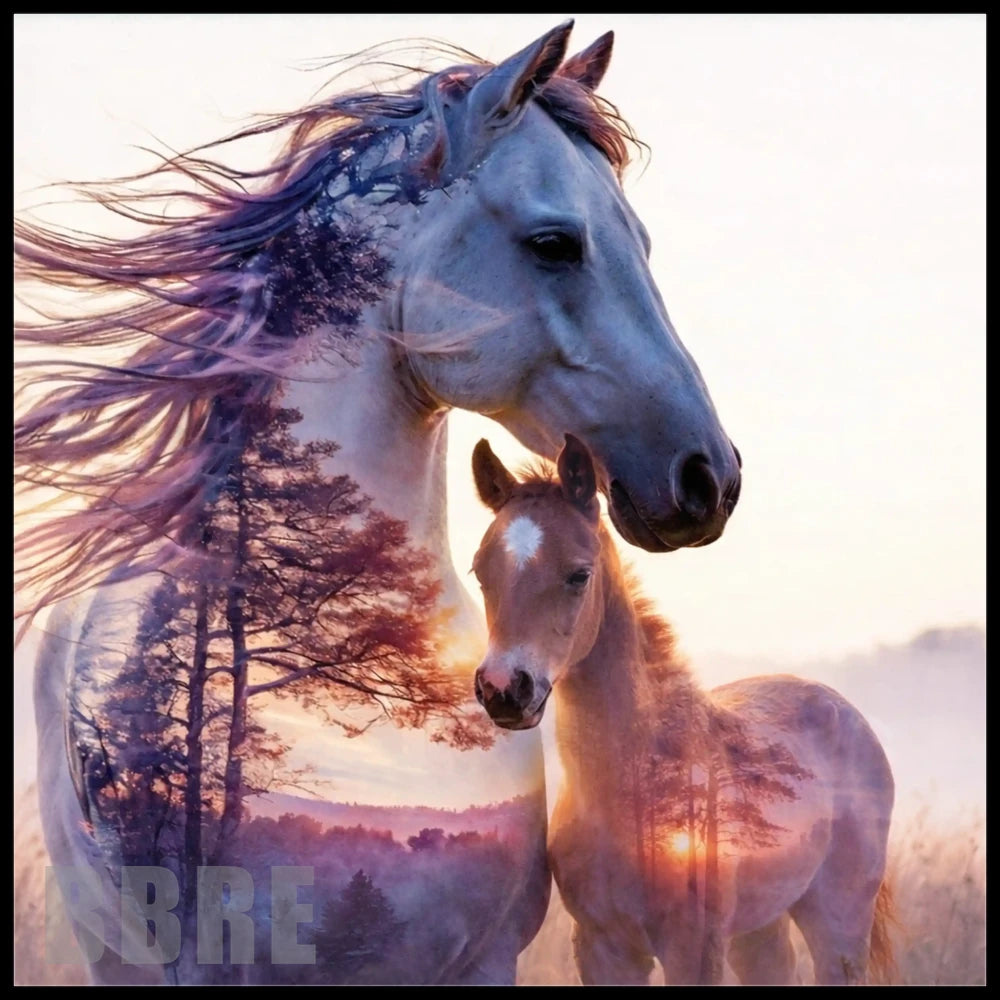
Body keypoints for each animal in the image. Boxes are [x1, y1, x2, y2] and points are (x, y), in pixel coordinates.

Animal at [469, 435, 896, 985]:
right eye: (481, 572)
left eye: (579, 575)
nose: (504, 689)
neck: (633, 782)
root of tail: (846, 711)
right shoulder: (602, 946)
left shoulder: (694, 947)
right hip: (760, 926)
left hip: (839, 919)